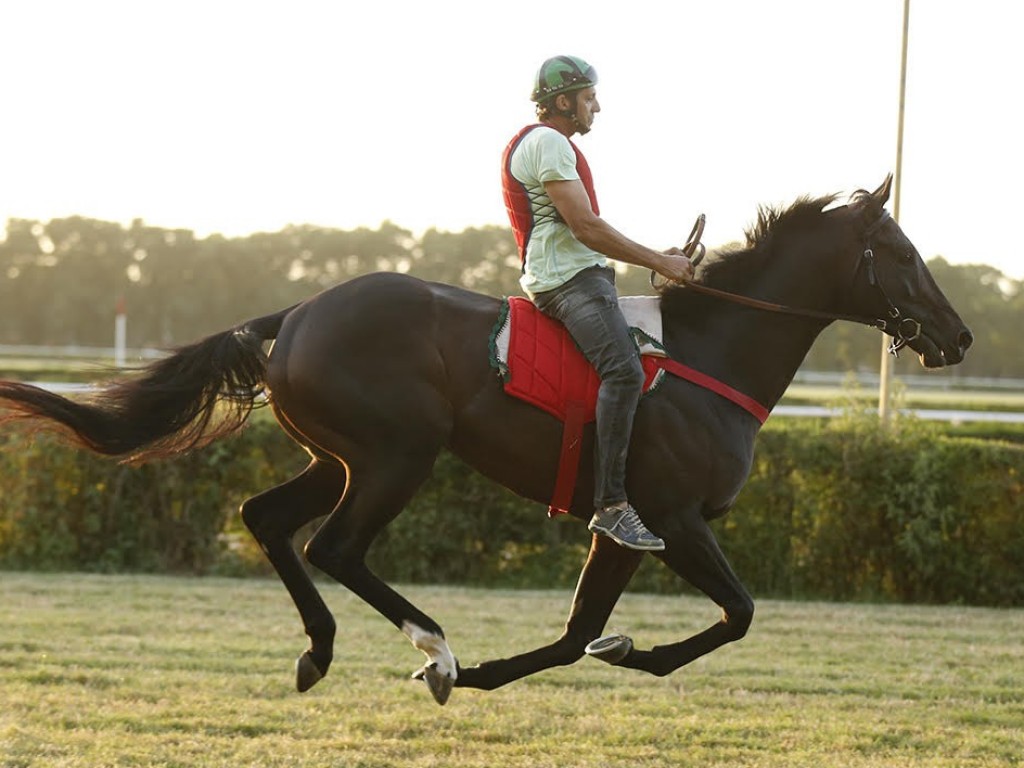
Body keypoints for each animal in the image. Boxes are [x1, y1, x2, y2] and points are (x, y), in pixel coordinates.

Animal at [0, 177, 970, 708]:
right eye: (901, 251)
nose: (957, 336)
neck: (708, 357)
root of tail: (299, 311)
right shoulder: (672, 518)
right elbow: (737, 613)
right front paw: (633, 653)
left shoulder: (621, 531)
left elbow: (579, 634)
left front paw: (552, 663)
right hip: (399, 453)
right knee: (334, 547)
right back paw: (433, 647)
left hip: (339, 457)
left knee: (268, 519)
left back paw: (323, 650)